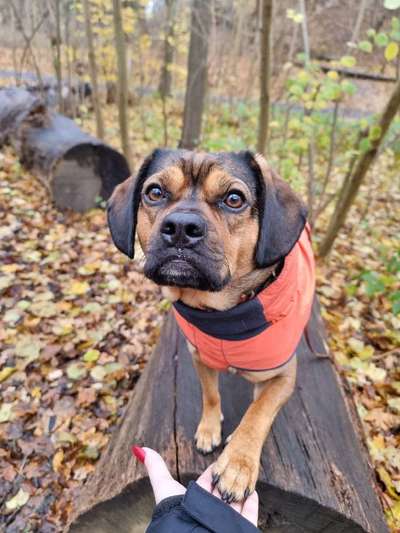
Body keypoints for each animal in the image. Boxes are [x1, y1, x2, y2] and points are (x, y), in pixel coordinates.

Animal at [107, 150, 316, 502]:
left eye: (234, 199)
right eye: (155, 193)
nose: (181, 227)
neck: (225, 316)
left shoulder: (282, 376)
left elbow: (257, 413)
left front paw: (237, 464)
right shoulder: (200, 357)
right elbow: (211, 394)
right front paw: (209, 429)